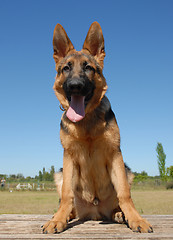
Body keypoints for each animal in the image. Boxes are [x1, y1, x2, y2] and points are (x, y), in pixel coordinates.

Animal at [42, 22, 153, 232]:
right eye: (66, 68)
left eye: (88, 68)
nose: (75, 85)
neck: (86, 123)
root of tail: (93, 212)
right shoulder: (69, 157)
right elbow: (67, 194)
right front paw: (58, 219)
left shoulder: (115, 154)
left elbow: (125, 194)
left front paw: (136, 219)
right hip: (59, 174)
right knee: (69, 203)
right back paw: (64, 215)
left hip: (127, 171)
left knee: (118, 200)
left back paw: (120, 214)